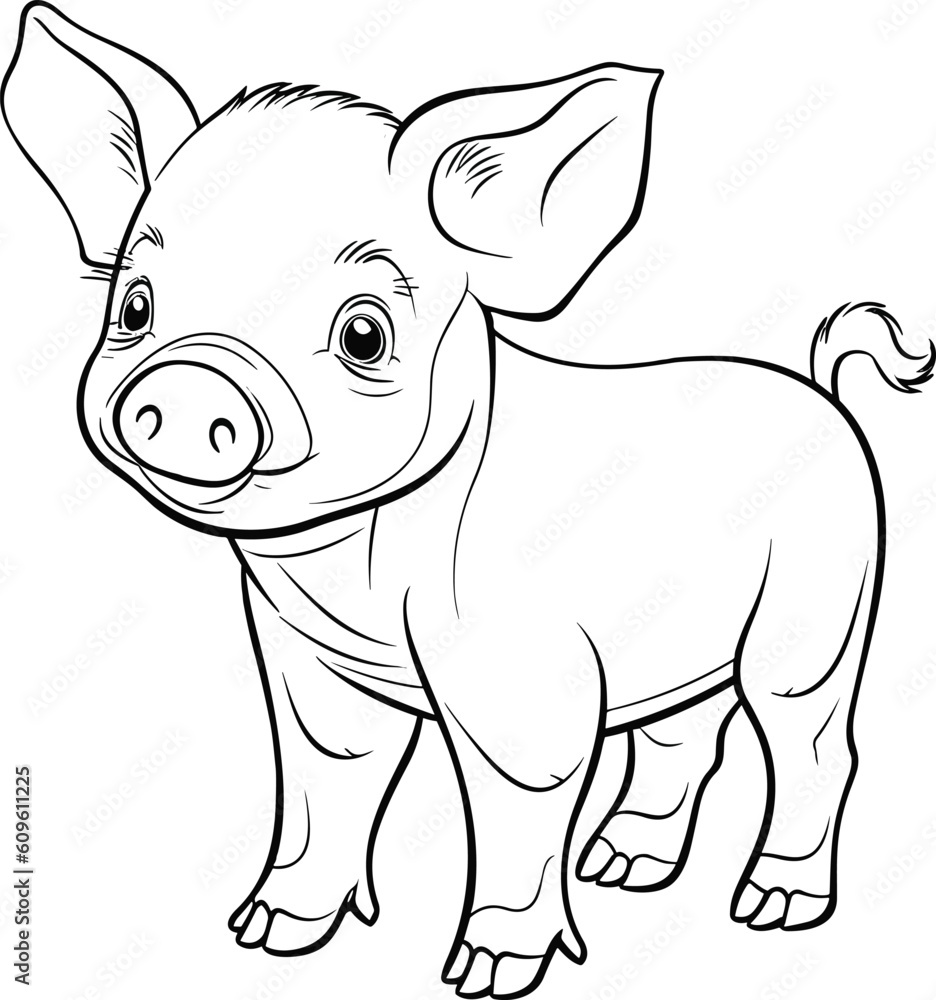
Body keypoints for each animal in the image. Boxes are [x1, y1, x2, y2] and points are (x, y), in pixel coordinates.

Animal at [3, 4, 933, 997]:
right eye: (135, 307)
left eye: (364, 333)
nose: (188, 385)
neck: (351, 575)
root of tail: (820, 393)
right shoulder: (305, 664)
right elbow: (327, 775)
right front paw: (266, 936)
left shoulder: (529, 674)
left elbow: (522, 797)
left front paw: (486, 973)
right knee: (685, 738)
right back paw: (622, 869)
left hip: (822, 608)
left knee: (813, 741)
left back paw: (771, 910)